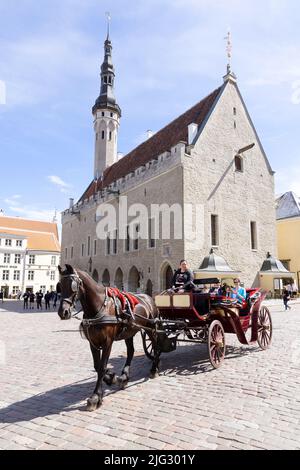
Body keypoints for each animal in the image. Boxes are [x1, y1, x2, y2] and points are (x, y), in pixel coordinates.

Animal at [57, 264, 161, 412]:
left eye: (73, 285)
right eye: (60, 285)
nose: (63, 312)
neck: (99, 307)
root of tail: (149, 297)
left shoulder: (108, 342)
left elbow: (102, 367)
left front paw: (95, 397)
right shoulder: (93, 342)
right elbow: (97, 366)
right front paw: (113, 378)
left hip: (150, 328)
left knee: (156, 345)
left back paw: (154, 369)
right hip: (129, 331)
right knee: (131, 351)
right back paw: (124, 377)